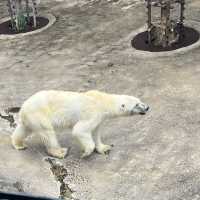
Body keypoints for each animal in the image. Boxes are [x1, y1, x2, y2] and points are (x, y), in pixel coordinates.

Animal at [10, 90, 148, 158]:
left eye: (140, 100)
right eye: (137, 104)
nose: (147, 107)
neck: (102, 100)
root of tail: (23, 108)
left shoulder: (99, 117)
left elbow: (96, 132)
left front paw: (104, 148)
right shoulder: (93, 113)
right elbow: (79, 130)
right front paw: (86, 153)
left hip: (30, 118)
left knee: (23, 129)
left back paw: (19, 144)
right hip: (40, 114)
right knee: (48, 133)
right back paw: (60, 152)